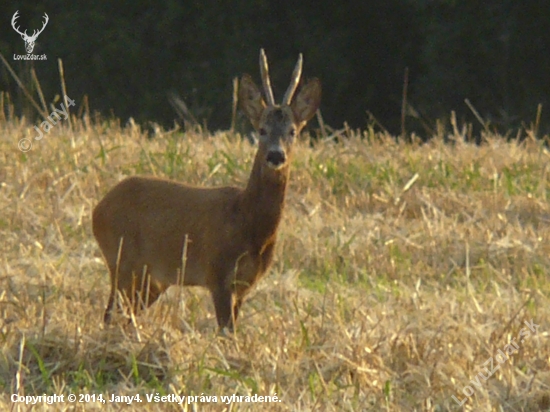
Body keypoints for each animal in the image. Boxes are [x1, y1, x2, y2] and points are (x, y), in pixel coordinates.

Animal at [92, 49, 322, 332]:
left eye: (293, 131)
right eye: (261, 129)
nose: (276, 155)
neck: (248, 223)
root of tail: (98, 209)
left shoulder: (244, 284)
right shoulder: (218, 274)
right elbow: (226, 333)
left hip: (152, 279)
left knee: (122, 315)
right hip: (121, 260)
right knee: (109, 314)